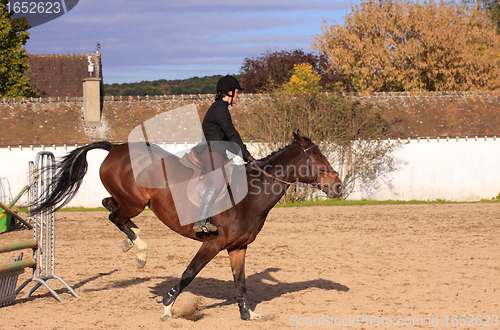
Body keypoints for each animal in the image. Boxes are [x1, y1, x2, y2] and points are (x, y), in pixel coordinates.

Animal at [29, 130, 344, 320]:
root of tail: (114, 148)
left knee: (111, 206)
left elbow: (240, 281)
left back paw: (131, 242)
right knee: (114, 216)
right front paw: (168, 307)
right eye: (317, 157)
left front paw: (248, 314)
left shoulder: (237, 247)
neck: (252, 194)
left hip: (130, 201)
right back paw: (140, 250)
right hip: (134, 201)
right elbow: (188, 274)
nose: (339, 187)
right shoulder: (212, 244)